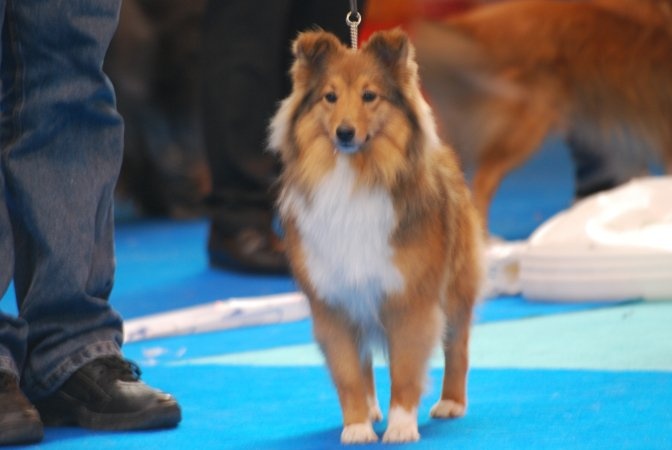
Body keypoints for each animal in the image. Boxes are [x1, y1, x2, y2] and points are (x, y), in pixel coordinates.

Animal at [269, 29, 482, 444]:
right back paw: (369, 410)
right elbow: (349, 374)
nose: (345, 132)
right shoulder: (332, 303)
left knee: (458, 345)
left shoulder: (410, 300)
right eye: (330, 96)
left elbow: (405, 370)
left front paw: (401, 427)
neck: (354, 176)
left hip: (455, 288)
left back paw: (452, 403)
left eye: (370, 96)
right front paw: (356, 427)